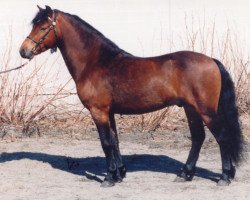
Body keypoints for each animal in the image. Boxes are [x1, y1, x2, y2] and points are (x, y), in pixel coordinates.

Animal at [19, 6, 242, 188]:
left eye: (43, 27)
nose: (24, 51)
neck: (95, 63)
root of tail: (211, 60)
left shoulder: (98, 112)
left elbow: (105, 143)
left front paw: (109, 178)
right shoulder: (109, 112)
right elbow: (115, 141)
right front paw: (119, 174)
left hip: (205, 111)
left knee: (222, 137)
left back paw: (224, 177)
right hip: (190, 108)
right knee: (198, 138)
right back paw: (185, 174)